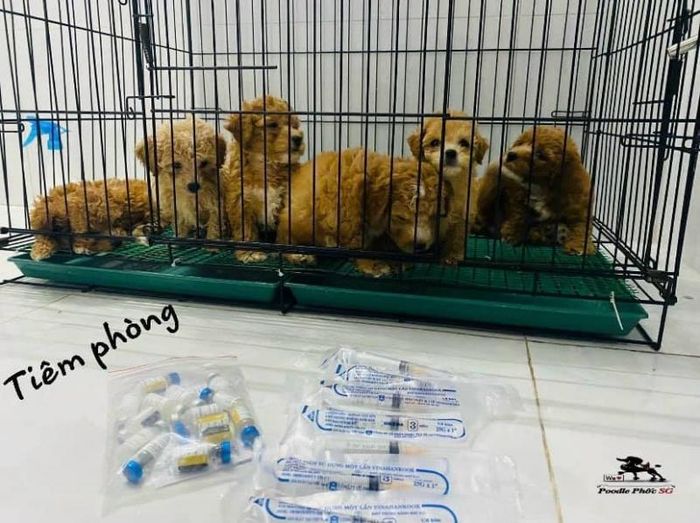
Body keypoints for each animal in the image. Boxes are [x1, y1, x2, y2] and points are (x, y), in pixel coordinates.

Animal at [220, 95, 305, 263]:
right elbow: (245, 229)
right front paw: (249, 253)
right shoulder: (240, 200)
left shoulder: (287, 198)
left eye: (294, 126)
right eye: (272, 124)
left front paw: (294, 252)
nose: (298, 138)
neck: (267, 164)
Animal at [277, 148, 440, 277]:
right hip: (292, 222)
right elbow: (359, 246)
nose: (421, 246)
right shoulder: (345, 219)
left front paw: (396, 260)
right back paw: (298, 255)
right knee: (282, 241)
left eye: (432, 217)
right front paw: (373, 265)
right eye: (400, 218)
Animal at [407, 111, 488, 263]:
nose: (450, 152)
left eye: (464, 143)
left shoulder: (463, 215)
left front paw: (452, 256)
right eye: (434, 142)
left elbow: (457, 238)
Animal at [476, 126, 595, 255]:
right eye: (520, 143)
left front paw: (578, 247)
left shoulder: (578, 205)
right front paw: (511, 234)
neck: (540, 186)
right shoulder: (517, 196)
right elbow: (518, 214)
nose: (511, 154)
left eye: (540, 154)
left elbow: (581, 225)